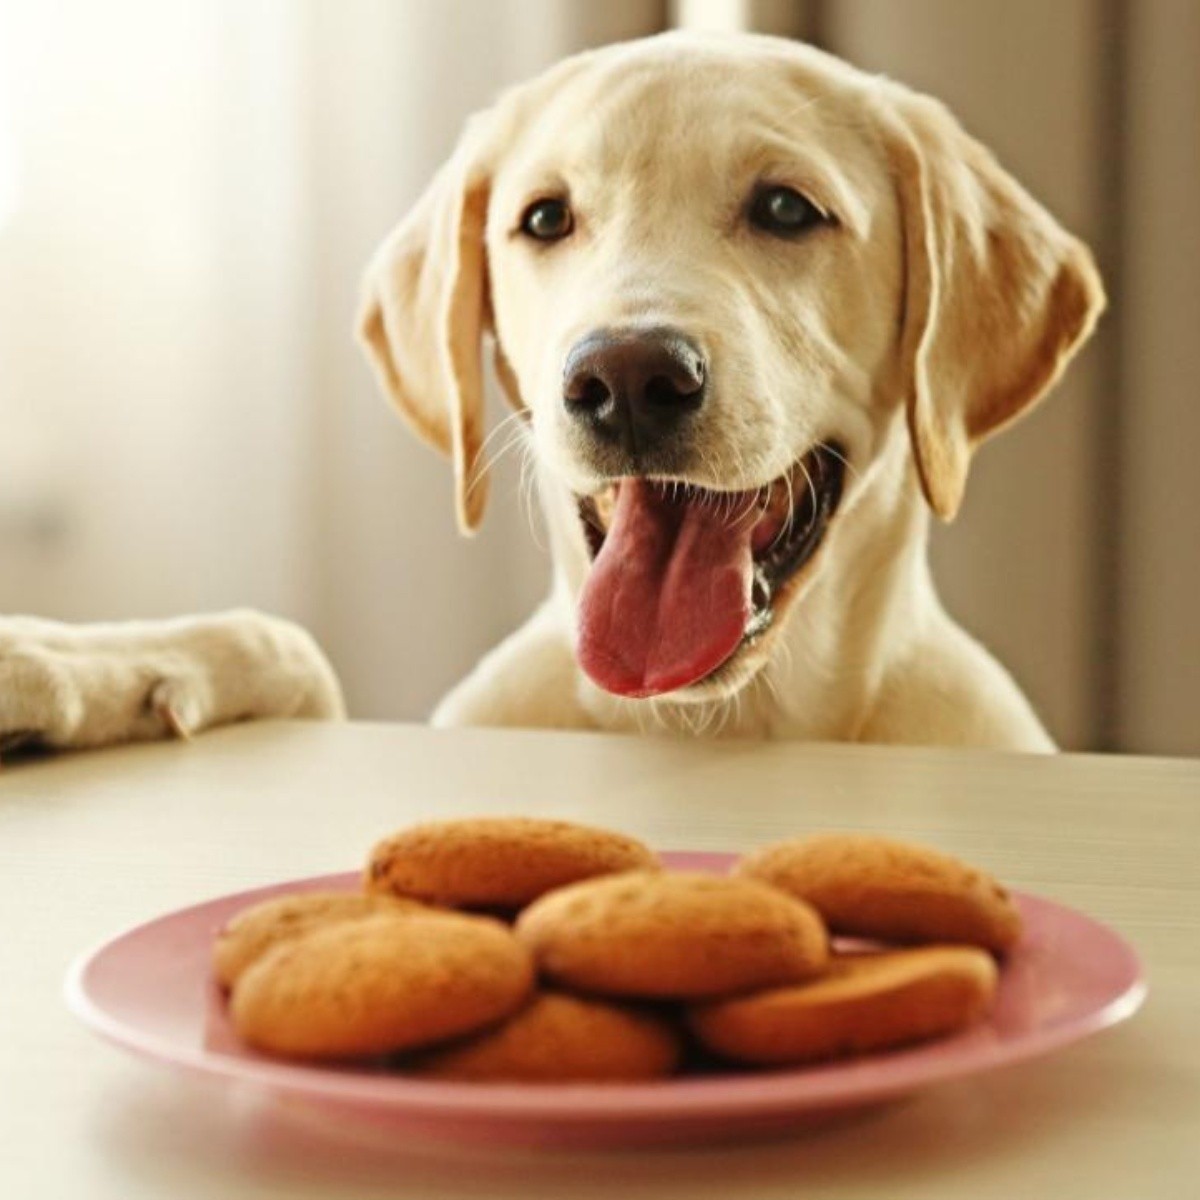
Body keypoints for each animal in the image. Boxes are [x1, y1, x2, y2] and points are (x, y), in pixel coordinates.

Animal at [0, 35, 1104, 758]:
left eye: (789, 209)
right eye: (544, 218)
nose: (627, 379)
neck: (699, 716)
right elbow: (287, 640)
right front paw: (69, 668)